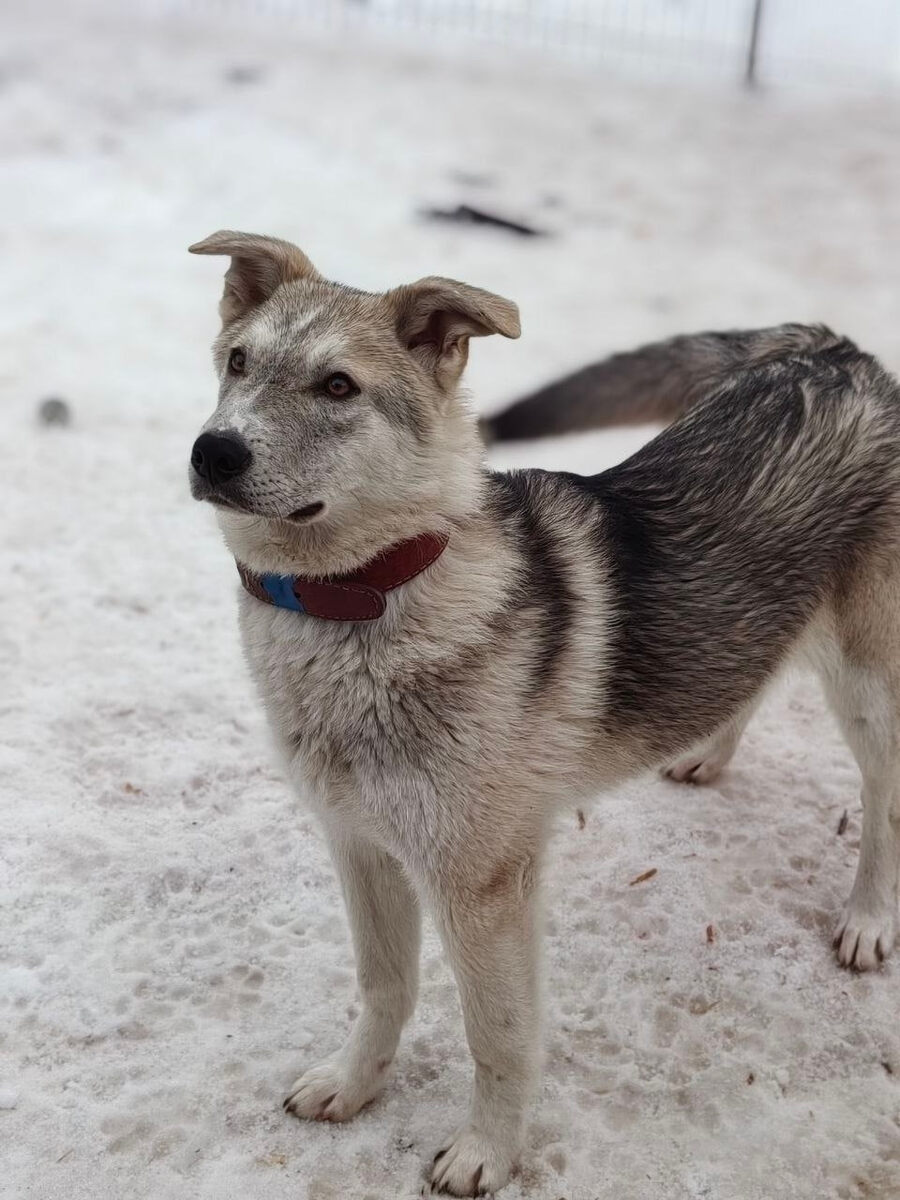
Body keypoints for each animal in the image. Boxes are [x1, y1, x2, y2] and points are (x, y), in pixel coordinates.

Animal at [188, 230, 900, 1196]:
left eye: (338, 386)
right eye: (238, 362)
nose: (213, 452)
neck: (361, 601)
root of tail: (835, 351)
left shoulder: (482, 887)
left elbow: (498, 1036)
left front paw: (487, 1153)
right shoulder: (362, 847)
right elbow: (383, 987)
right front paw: (353, 1086)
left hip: (867, 689)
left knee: (882, 803)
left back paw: (867, 922)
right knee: (746, 670)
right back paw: (706, 752)